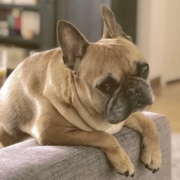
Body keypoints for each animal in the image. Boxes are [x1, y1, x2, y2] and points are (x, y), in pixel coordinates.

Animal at [0, 5, 162, 177]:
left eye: (145, 69)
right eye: (106, 86)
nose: (133, 90)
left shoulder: (124, 116)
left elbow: (149, 123)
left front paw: (153, 154)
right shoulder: (53, 132)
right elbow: (103, 136)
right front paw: (123, 161)